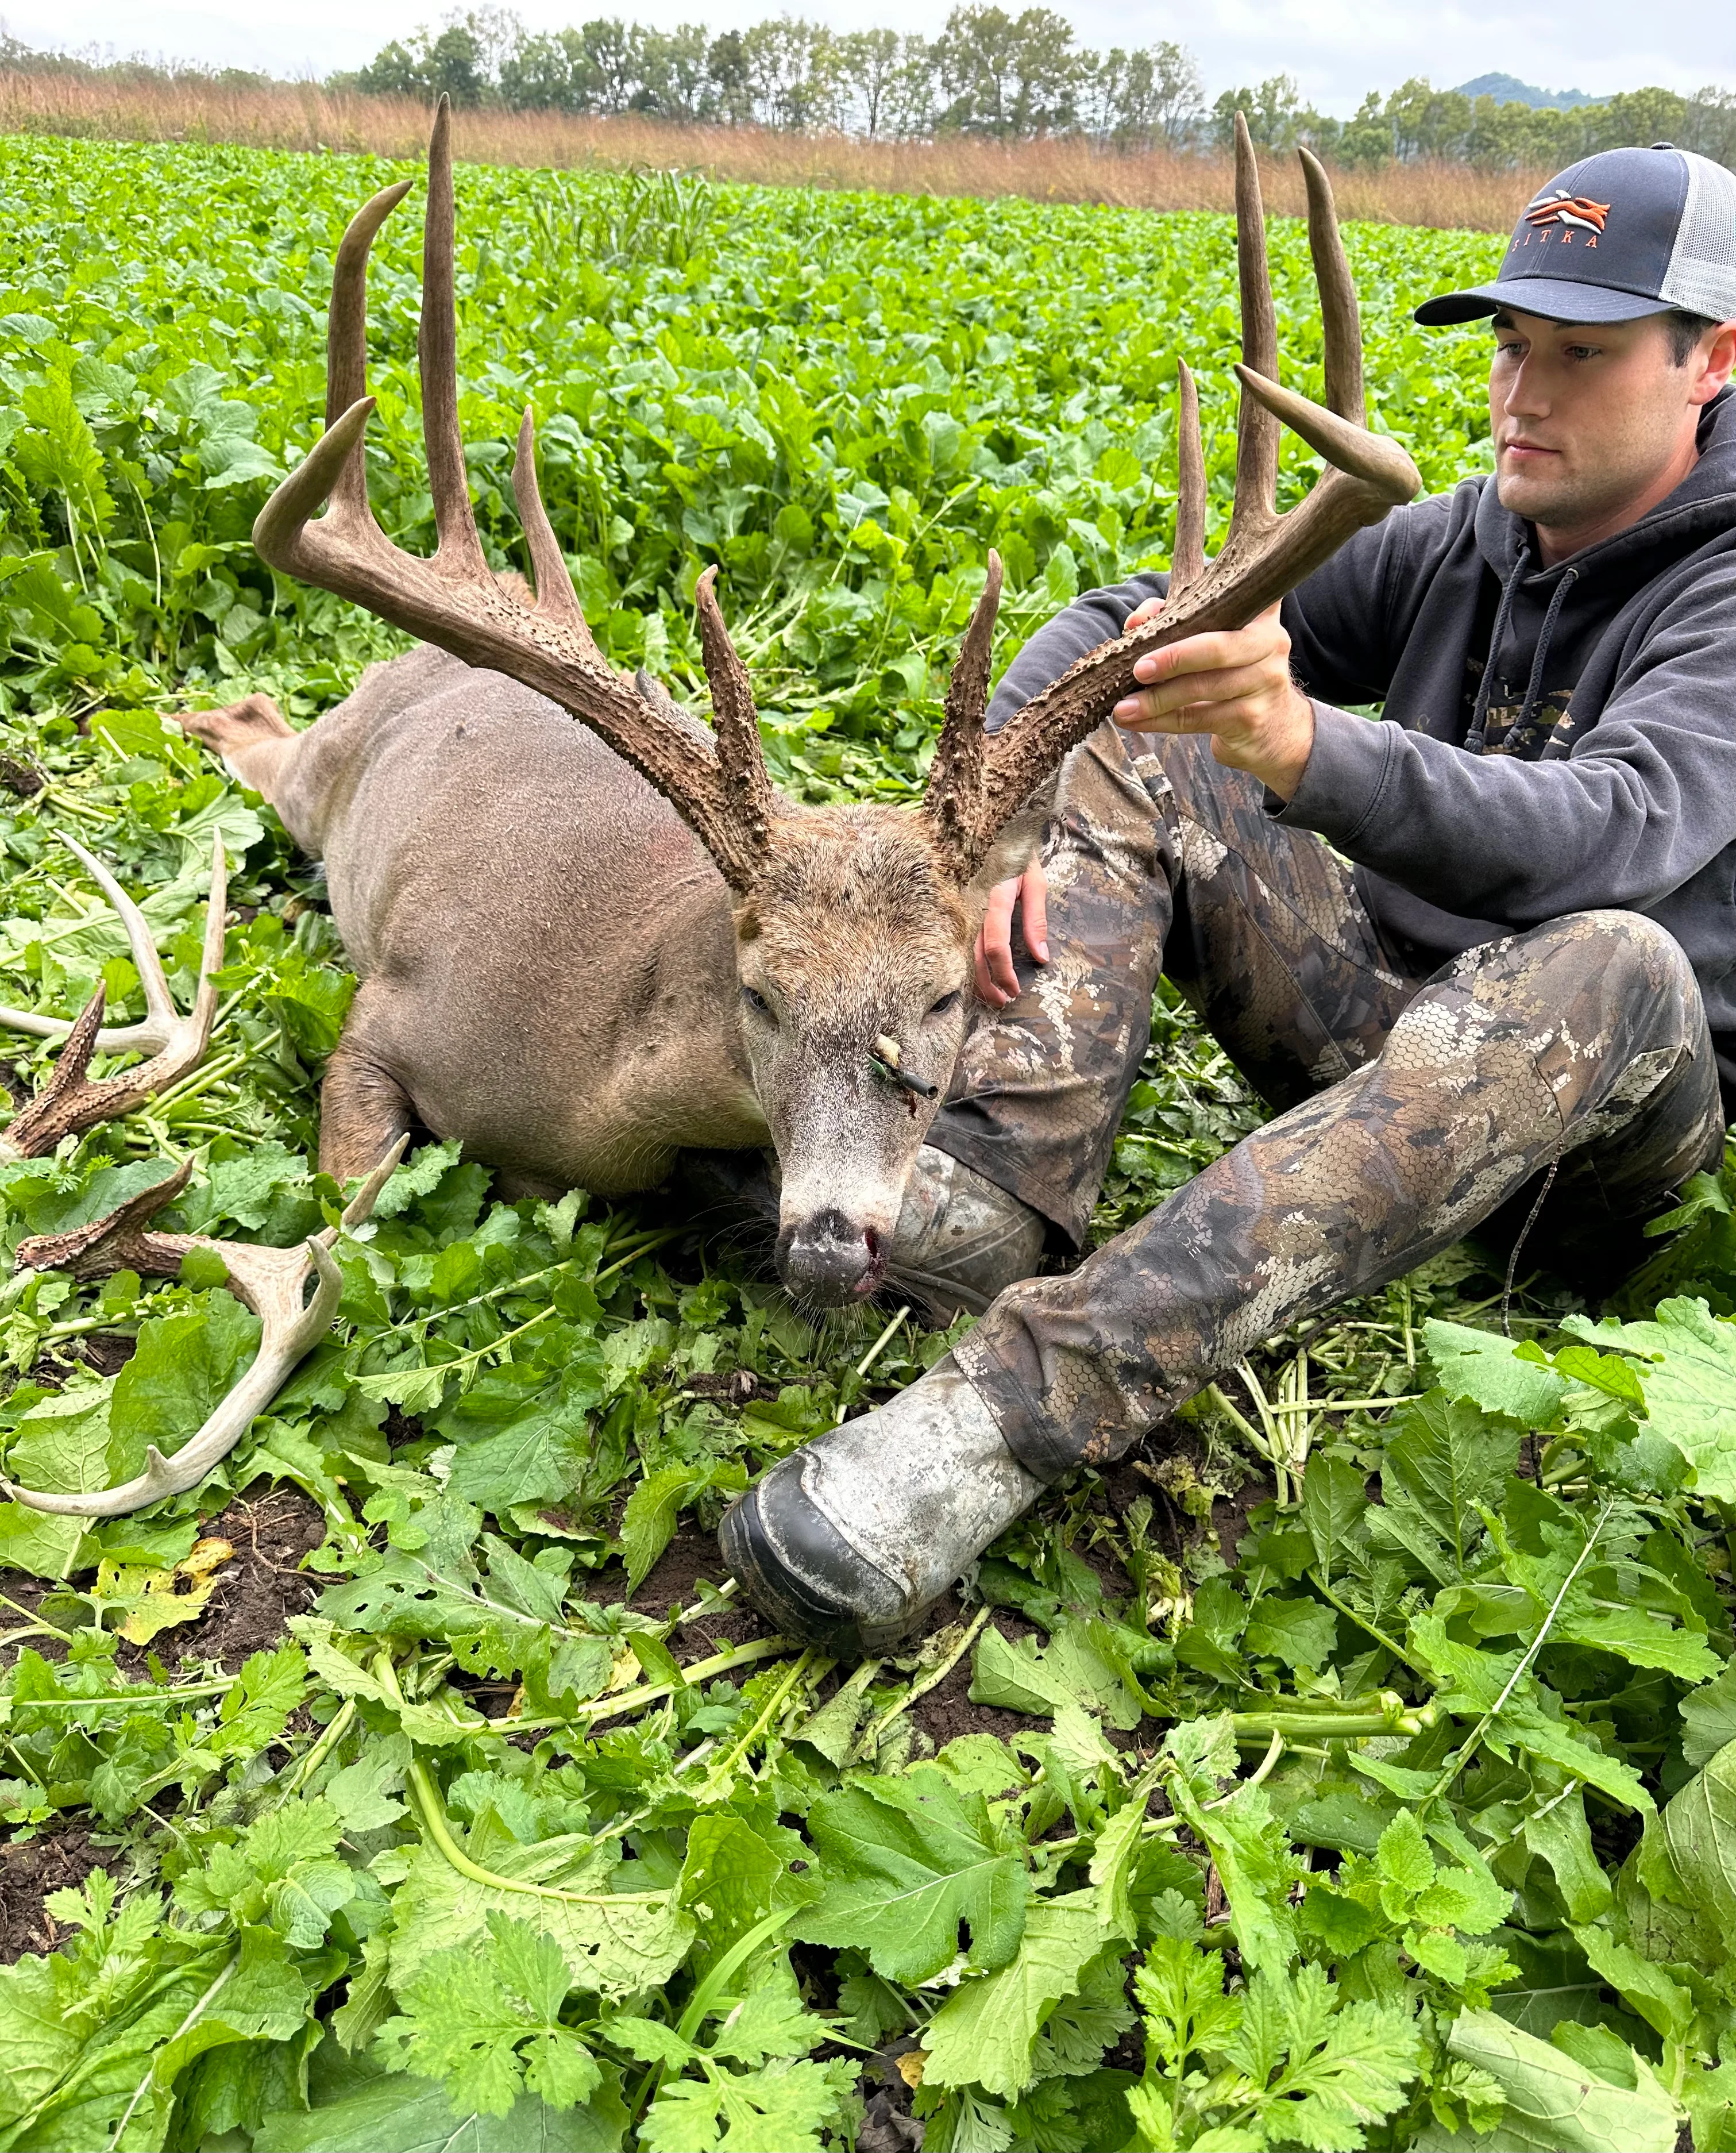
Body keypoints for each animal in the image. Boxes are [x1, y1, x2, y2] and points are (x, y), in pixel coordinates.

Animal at [176, 109, 1419, 1300]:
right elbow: (350, 1211)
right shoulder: (387, 1016)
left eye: (944, 1000)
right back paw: (205, 718)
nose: (827, 1246)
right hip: (324, 779)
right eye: (760, 996)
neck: (595, 1092)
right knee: (269, 742)